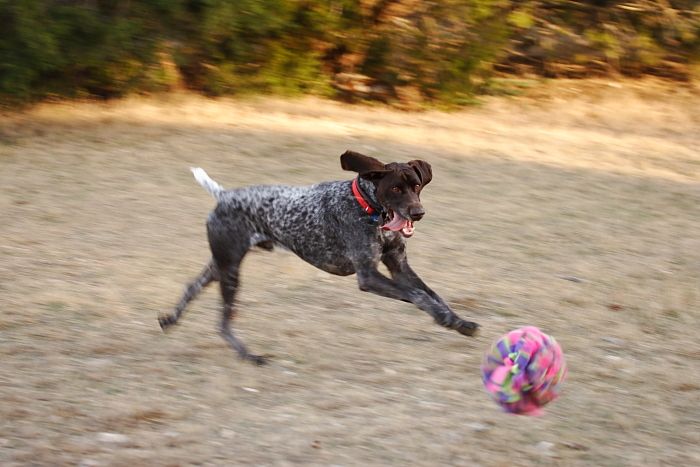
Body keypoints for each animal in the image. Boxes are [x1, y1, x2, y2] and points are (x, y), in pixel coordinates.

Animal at [159, 152, 478, 364]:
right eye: (396, 188)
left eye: (416, 185)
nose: (418, 213)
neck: (368, 208)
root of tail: (224, 196)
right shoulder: (368, 276)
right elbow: (418, 296)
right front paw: (444, 318)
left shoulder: (399, 266)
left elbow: (432, 295)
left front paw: (457, 321)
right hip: (231, 270)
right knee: (223, 322)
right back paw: (249, 355)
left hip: (222, 264)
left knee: (192, 286)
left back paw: (170, 319)